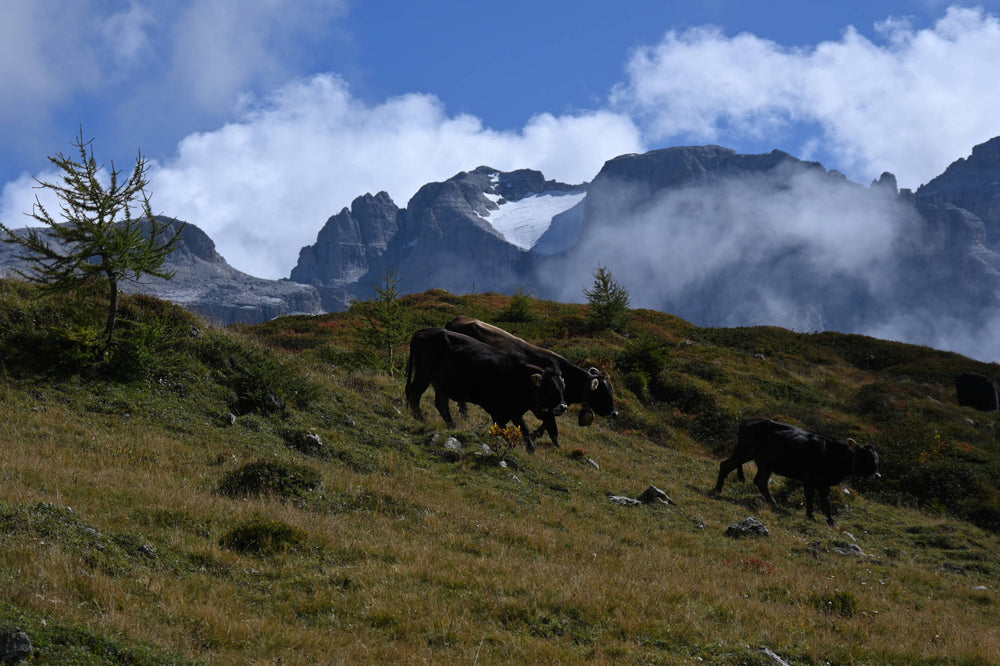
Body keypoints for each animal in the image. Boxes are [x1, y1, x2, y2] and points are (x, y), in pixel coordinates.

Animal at [404, 327, 568, 453]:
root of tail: (424, 331)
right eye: (549, 388)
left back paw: (452, 425)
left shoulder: (515, 411)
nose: (563, 406)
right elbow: (502, 429)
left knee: (440, 403)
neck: (519, 377)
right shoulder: (499, 411)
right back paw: (420, 418)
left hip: (439, 383)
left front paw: (531, 450)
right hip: (424, 374)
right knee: (414, 392)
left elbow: (525, 429)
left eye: (562, 387)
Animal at [444, 316, 618, 447]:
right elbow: (552, 427)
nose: (615, 413)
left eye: (612, 389)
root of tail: (455, 320)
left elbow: (547, 424)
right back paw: (465, 415)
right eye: (604, 391)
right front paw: (555, 445)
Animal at [713, 418, 881, 525]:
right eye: (866, 458)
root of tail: (746, 422)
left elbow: (826, 501)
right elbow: (810, 497)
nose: (877, 475)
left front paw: (831, 521)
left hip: (764, 463)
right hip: (745, 451)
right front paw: (811, 516)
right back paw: (717, 490)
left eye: (877, 459)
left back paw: (773, 503)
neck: (832, 454)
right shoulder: (809, 479)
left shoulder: (824, 483)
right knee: (725, 465)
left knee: (760, 481)